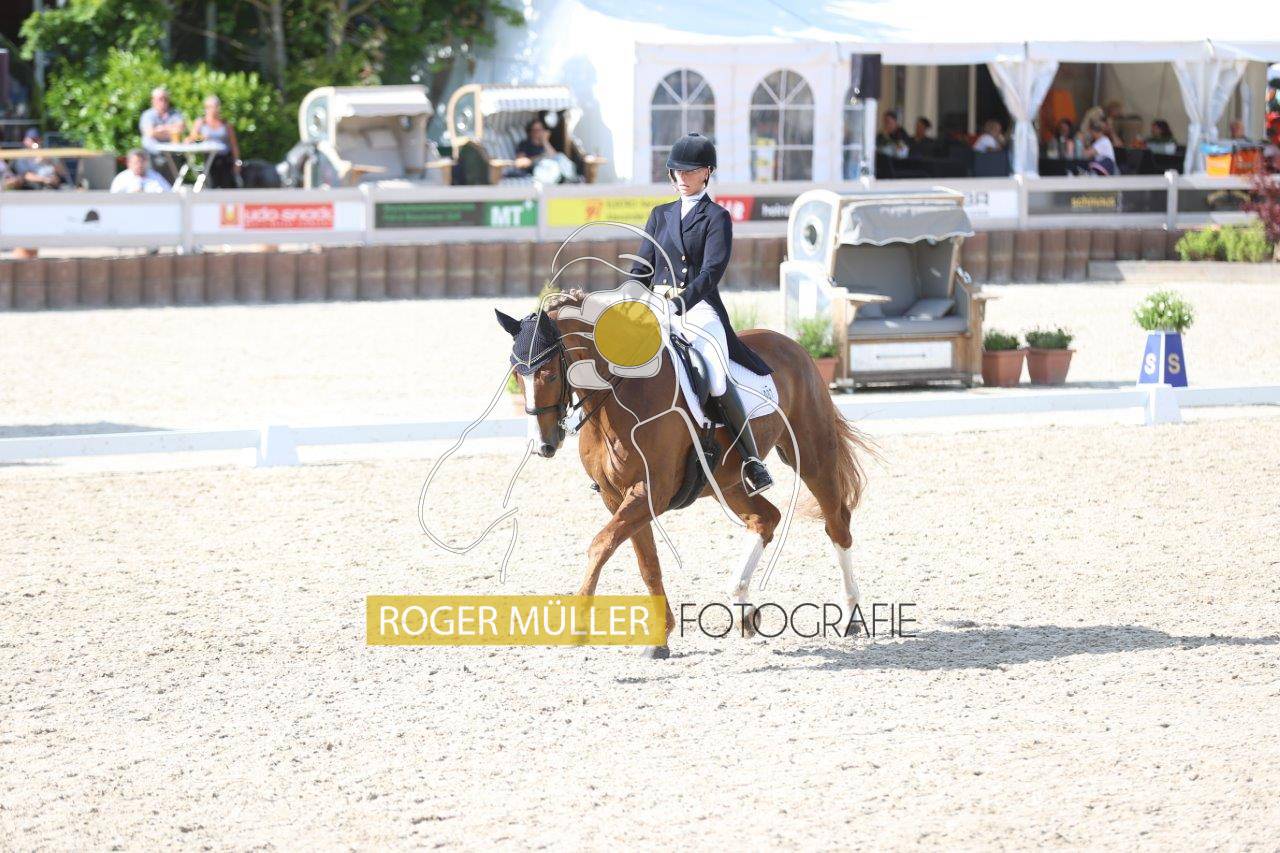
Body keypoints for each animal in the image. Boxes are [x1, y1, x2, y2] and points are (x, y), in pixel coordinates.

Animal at [495, 289, 873, 658]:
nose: (543, 444)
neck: (619, 398)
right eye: (516, 375)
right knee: (766, 519)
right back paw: (744, 609)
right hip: (727, 482)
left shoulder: (650, 491)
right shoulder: (616, 497)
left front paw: (577, 628)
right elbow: (647, 563)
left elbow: (600, 545)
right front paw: (660, 638)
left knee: (837, 523)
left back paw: (850, 615)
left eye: (548, 373)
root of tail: (792, 346)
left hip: (811, 457)